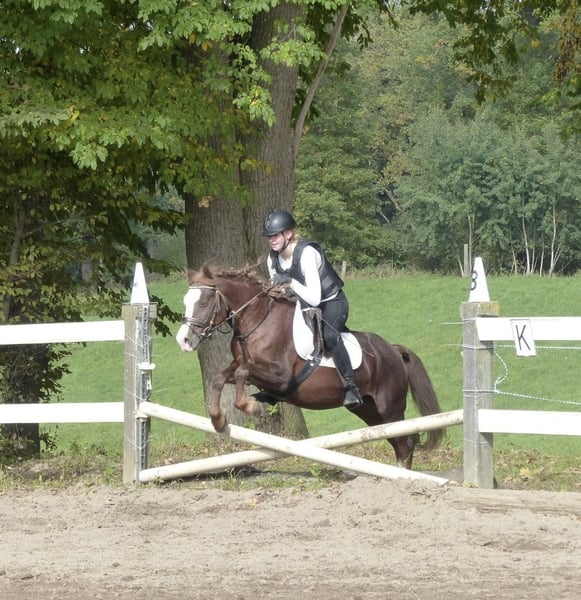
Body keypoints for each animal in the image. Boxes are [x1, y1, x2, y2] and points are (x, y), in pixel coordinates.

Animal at [175, 264, 444, 469]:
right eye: (185, 301)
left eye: (204, 302)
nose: (184, 340)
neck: (257, 321)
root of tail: (393, 350)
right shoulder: (241, 365)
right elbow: (220, 378)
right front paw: (218, 420)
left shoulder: (281, 376)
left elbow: (243, 374)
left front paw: (253, 407)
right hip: (369, 410)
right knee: (397, 441)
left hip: (390, 407)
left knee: (406, 442)